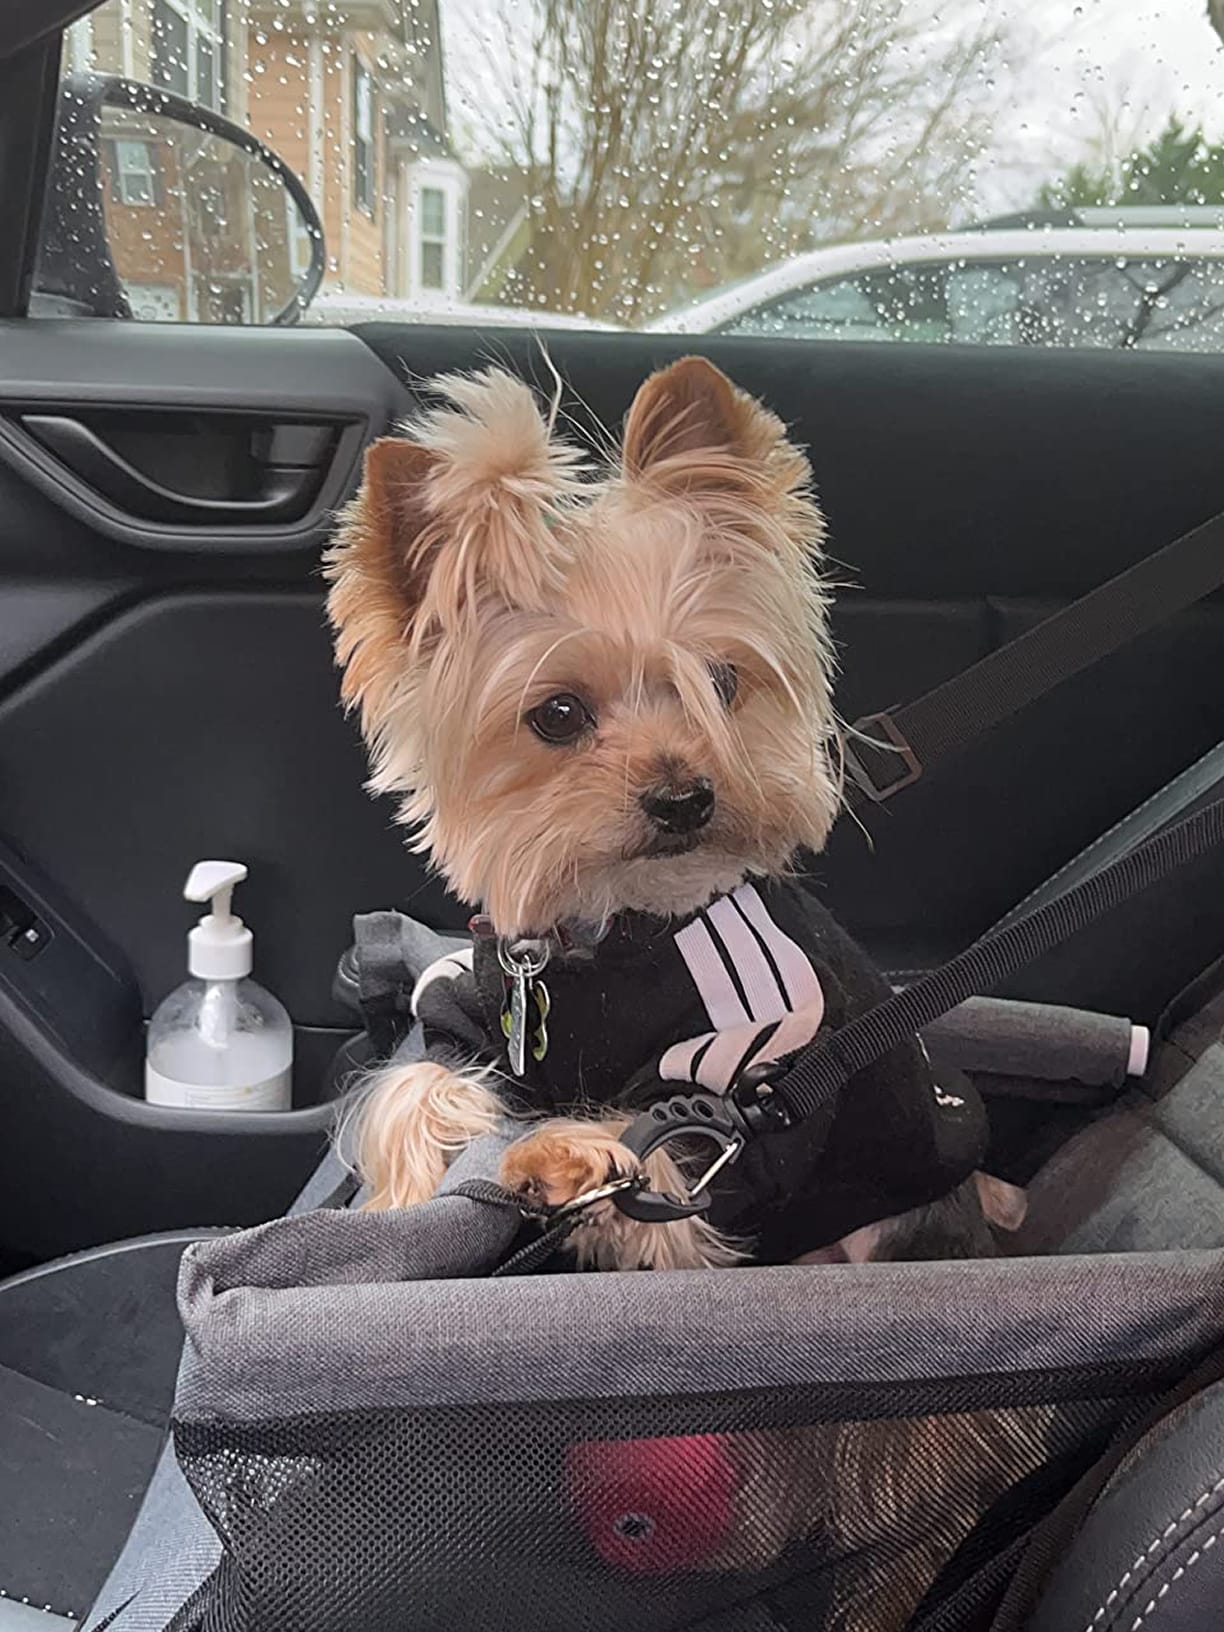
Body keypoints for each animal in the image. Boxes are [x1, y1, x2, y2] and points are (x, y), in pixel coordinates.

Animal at [325, 355, 1022, 1268]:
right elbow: (413, 1080)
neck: (610, 933)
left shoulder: (755, 1076)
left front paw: (568, 1157)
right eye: (557, 714)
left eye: (721, 682)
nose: (686, 798)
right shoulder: (472, 1016)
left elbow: (666, 1149)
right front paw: (393, 1204)